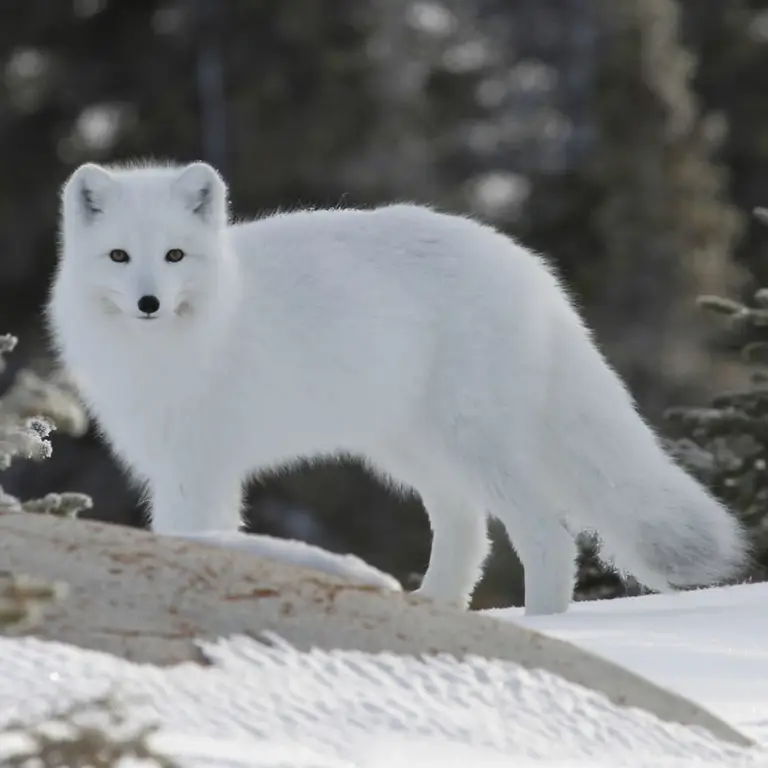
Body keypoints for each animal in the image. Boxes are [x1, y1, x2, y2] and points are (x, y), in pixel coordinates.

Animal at [45, 159, 748, 616]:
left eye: (174, 256)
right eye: (118, 257)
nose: (148, 303)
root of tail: (530, 268)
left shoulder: (200, 468)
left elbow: (193, 537)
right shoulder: (174, 465)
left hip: (473, 443)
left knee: (547, 534)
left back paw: (544, 626)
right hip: (411, 451)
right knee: (468, 527)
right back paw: (437, 606)